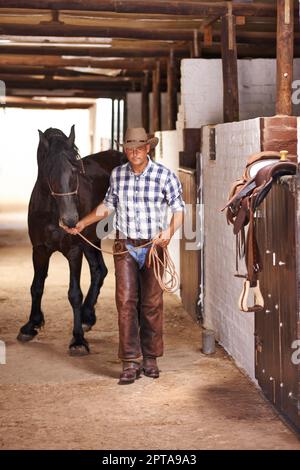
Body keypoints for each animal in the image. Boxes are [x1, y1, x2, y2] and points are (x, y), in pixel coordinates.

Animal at [17, 126, 124, 354]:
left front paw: (78, 340)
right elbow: (36, 286)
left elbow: (74, 293)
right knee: (99, 270)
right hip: (91, 239)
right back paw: (87, 316)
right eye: (49, 172)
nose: (71, 220)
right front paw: (31, 325)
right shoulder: (39, 250)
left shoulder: (74, 251)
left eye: (75, 170)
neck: (52, 212)